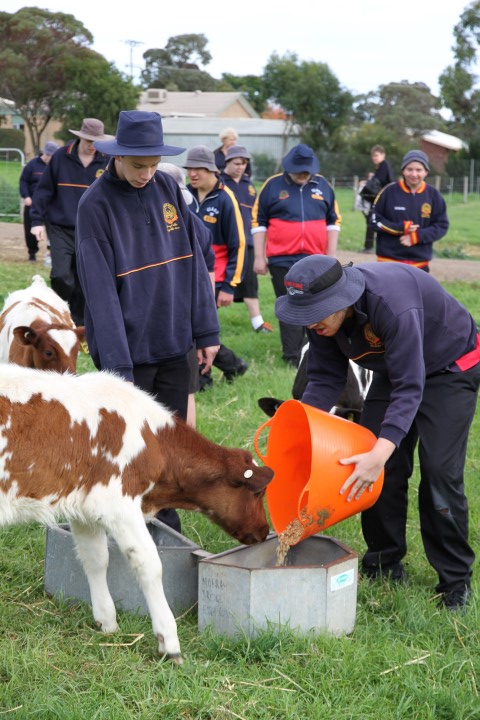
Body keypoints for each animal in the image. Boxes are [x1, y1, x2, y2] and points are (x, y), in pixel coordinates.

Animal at [0, 366, 274, 664]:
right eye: (259, 492)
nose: (263, 531)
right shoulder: (118, 504)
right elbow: (150, 565)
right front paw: (169, 641)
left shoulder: (85, 507)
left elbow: (96, 559)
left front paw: (107, 622)